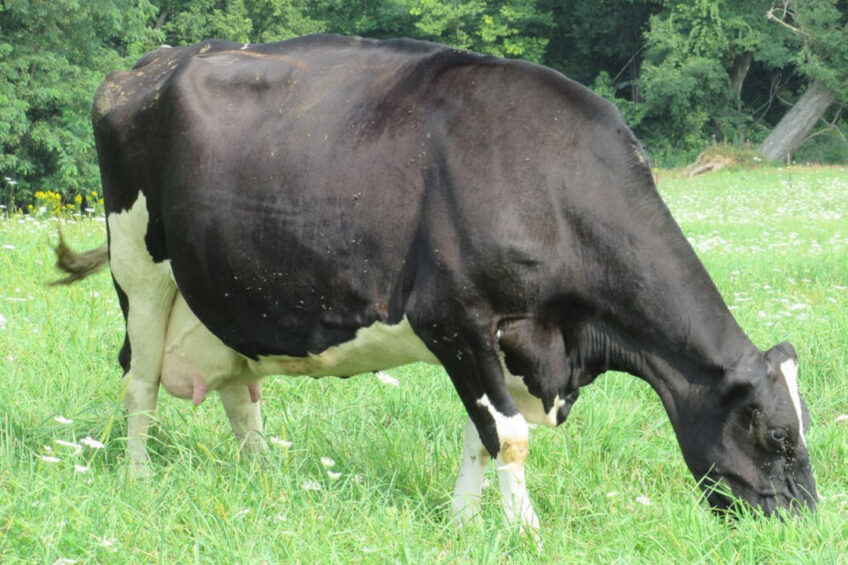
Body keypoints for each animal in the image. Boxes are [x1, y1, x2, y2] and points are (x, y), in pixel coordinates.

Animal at [59, 36, 816, 528]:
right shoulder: (455, 316)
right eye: (778, 435)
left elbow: (479, 433)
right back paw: (140, 480)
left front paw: (462, 523)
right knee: (139, 382)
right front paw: (524, 532)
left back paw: (265, 484)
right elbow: (507, 435)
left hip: (223, 293)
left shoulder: (509, 343)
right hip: (140, 267)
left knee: (241, 396)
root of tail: (144, 66)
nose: (804, 521)